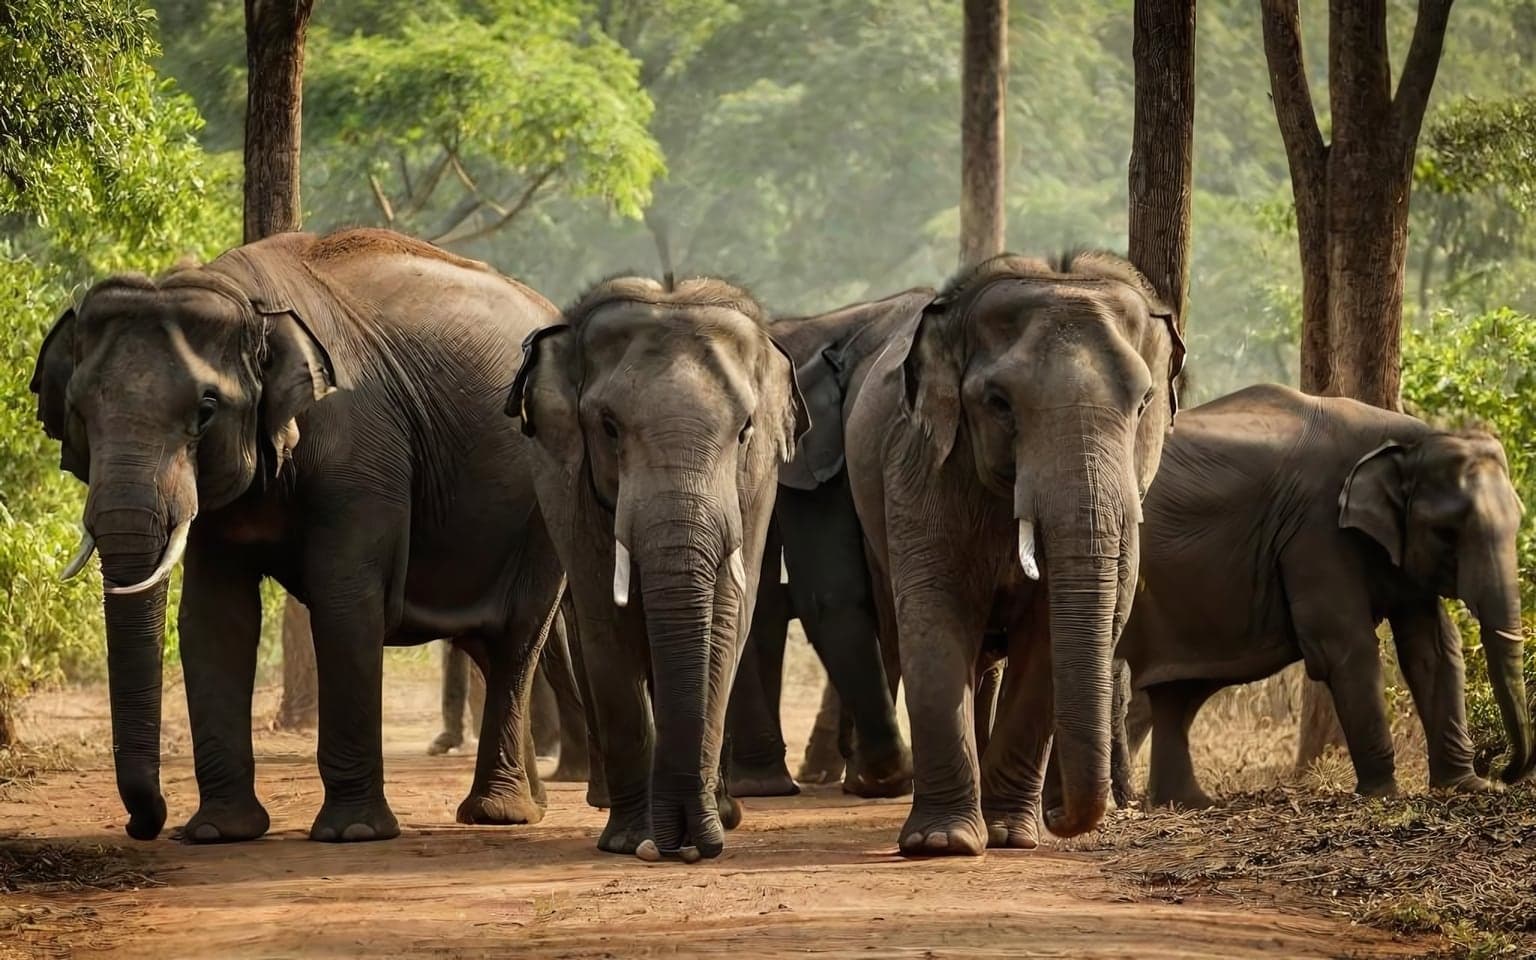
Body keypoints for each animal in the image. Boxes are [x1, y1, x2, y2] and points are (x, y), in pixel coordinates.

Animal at [31, 228, 566, 843]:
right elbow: (217, 618)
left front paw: (352, 834)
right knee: (486, 644)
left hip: (544, 506)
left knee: (517, 637)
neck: (249, 303)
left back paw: (497, 814)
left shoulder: (358, 454)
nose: (146, 826)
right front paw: (218, 834)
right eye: (77, 412)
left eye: (207, 409)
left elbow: (344, 603)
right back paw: (529, 805)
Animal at [508, 275, 808, 862]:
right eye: (608, 427)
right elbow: (606, 620)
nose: (689, 842)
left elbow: (727, 621)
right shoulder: (566, 481)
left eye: (745, 430)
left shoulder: (757, 486)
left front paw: (706, 831)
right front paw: (632, 841)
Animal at [837, 252, 1185, 856]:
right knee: (903, 631)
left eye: (1143, 404)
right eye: (999, 404)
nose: (1061, 816)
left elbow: (1046, 637)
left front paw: (1007, 835)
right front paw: (942, 843)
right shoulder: (919, 467)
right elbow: (934, 615)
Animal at [1106, 384, 1533, 808]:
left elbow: (1434, 649)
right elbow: (1345, 645)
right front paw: (1384, 794)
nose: (1503, 771)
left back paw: (1187, 803)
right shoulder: (1316, 528)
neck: (1410, 443)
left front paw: (1468, 787)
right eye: (1446, 532)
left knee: (1178, 690)